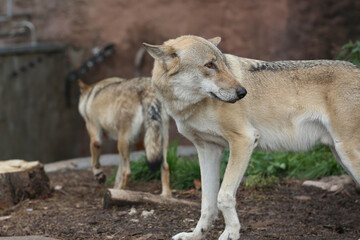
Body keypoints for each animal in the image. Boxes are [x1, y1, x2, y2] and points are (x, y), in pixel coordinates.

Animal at [143, 34, 360, 239]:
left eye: (223, 64)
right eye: (210, 65)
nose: (242, 92)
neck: (192, 106)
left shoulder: (244, 140)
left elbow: (224, 196)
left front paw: (231, 233)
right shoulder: (208, 149)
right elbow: (207, 204)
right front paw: (196, 235)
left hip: (347, 154)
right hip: (340, 155)